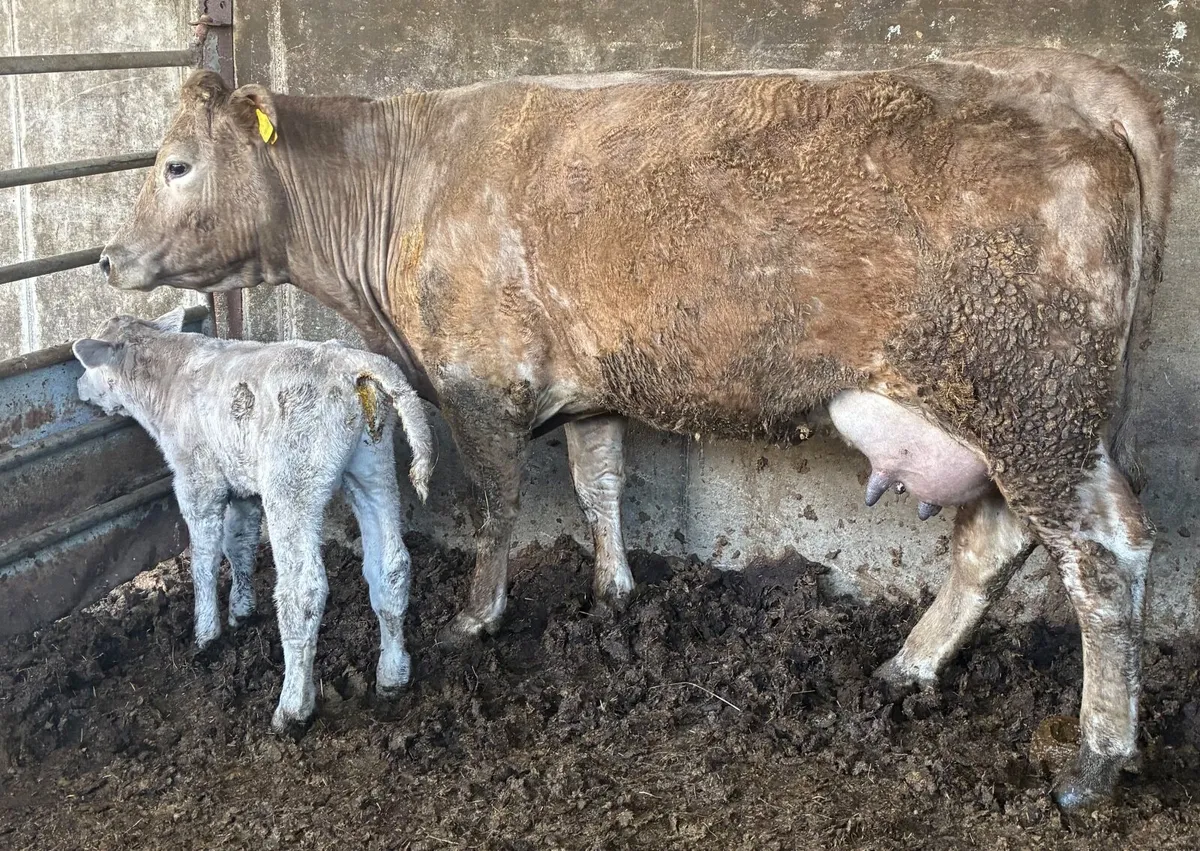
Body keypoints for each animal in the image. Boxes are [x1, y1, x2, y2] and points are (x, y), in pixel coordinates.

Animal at [72, 308, 434, 734]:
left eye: (88, 365)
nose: (78, 387)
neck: (166, 379)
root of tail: (352, 362)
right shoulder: (242, 485)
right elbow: (239, 541)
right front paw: (242, 610)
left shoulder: (197, 478)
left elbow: (205, 558)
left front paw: (206, 633)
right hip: (373, 465)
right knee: (392, 566)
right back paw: (393, 676)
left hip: (292, 479)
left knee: (303, 589)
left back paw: (291, 709)